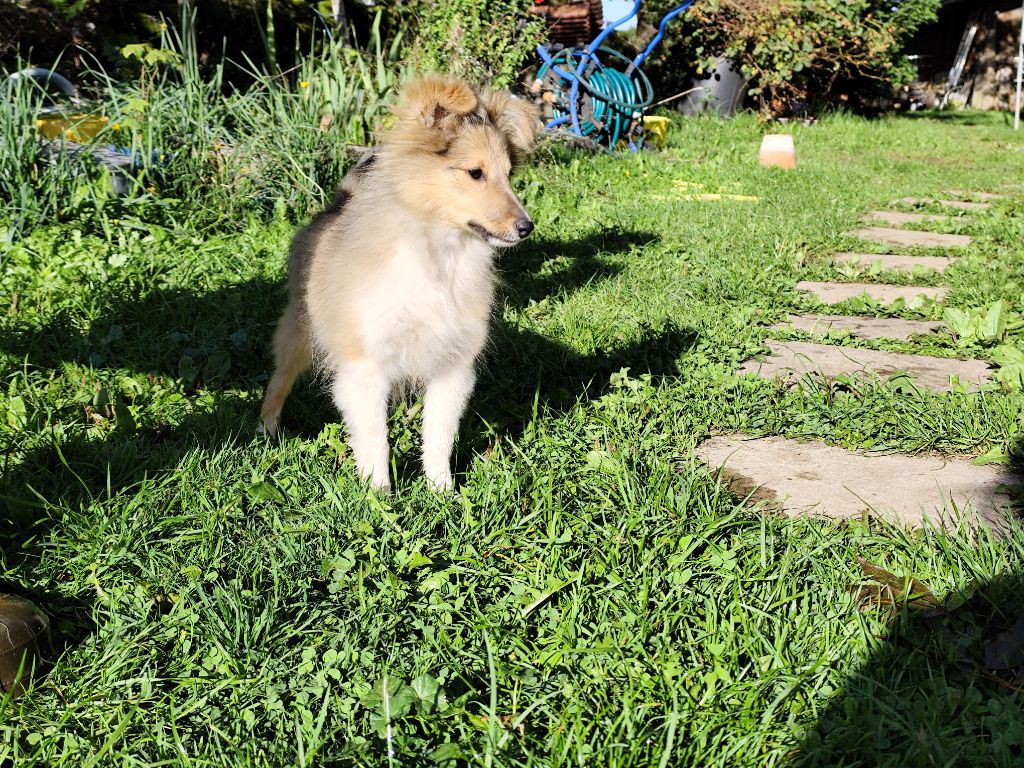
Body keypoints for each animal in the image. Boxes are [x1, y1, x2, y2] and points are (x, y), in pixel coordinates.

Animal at [260, 75, 540, 492]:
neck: (438, 259)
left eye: (509, 175)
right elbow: (375, 438)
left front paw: (442, 492)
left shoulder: (453, 367)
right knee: (279, 380)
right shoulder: (364, 366)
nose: (525, 227)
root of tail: (338, 203)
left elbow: (439, 436)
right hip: (299, 331)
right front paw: (378, 493)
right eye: (475, 173)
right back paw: (267, 430)